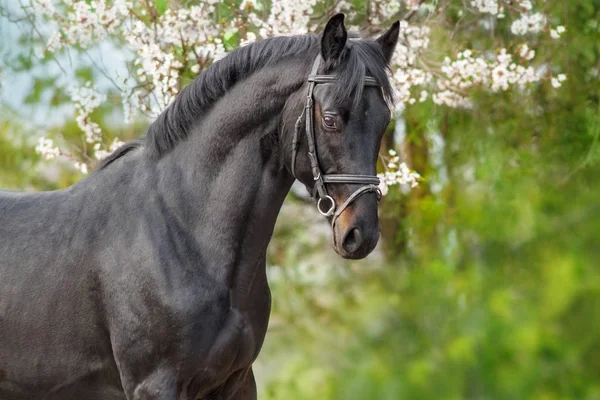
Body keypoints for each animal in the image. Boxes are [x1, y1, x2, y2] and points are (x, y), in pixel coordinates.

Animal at [2, 14, 400, 398]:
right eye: (330, 119)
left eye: (384, 121)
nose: (360, 234)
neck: (183, 229)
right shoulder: (155, 385)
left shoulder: (236, 382)